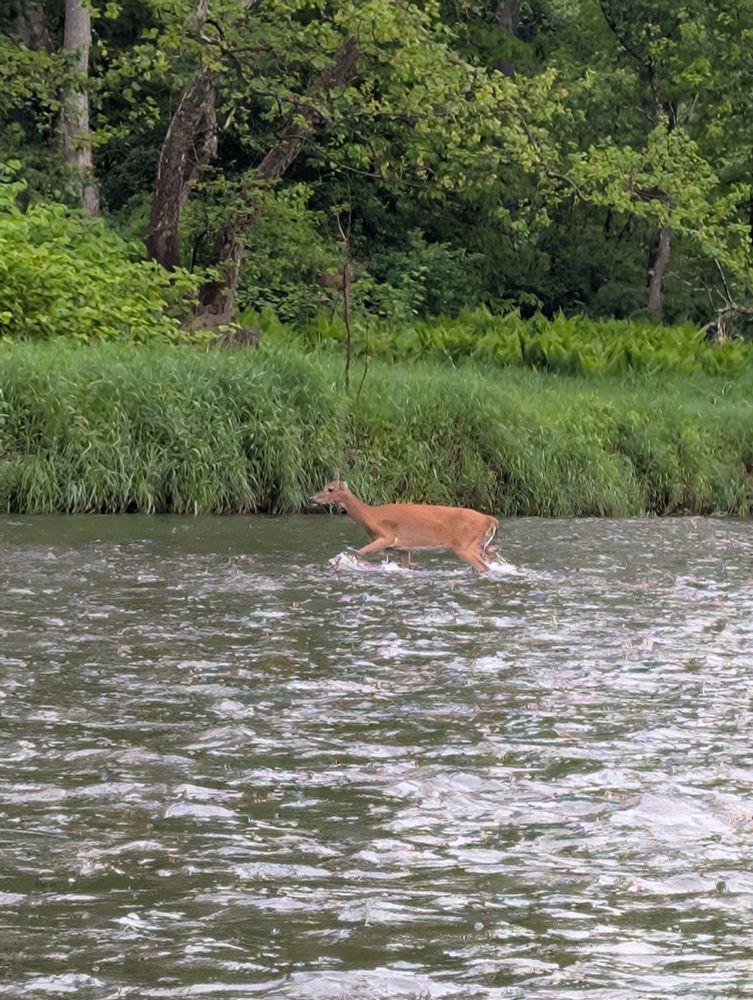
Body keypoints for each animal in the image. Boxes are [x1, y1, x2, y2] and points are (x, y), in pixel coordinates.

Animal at [310, 473, 499, 573]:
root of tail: (490, 519)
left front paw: (336, 561)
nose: (311, 498)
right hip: (478, 545)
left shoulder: (387, 536)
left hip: (464, 544)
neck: (370, 516)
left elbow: (359, 552)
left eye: (330, 489)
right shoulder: (403, 548)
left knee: (484, 567)